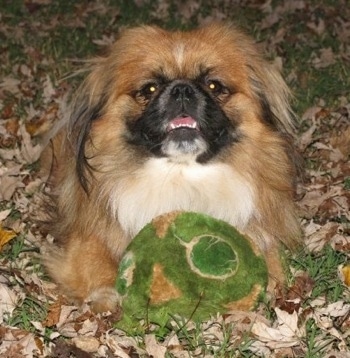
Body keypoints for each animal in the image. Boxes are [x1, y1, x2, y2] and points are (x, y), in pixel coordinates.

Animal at [43, 23, 300, 312]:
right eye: (150, 89)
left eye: (213, 85)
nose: (182, 89)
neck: (181, 173)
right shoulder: (89, 238)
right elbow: (96, 265)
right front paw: (109, 294)